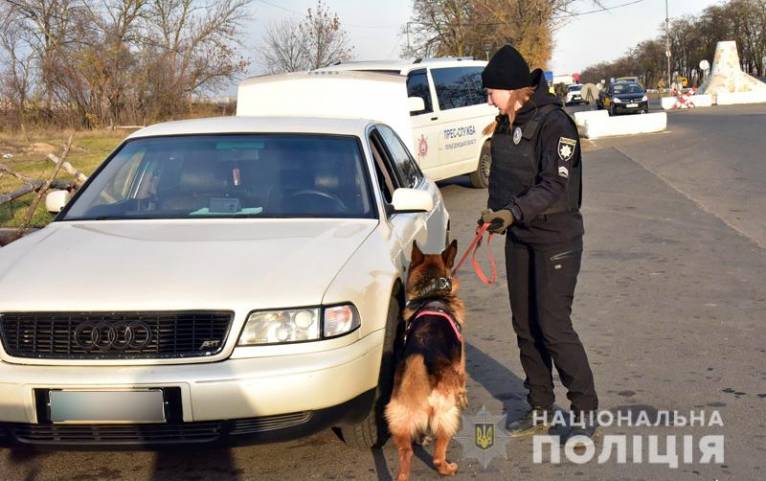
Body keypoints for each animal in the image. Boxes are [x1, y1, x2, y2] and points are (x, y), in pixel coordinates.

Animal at [388, 240, 464, 480]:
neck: (433, 295)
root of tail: (419, 362)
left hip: (400, 419)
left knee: (407, 453)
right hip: (447, 415)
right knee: (438, 455)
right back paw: (447, 468)